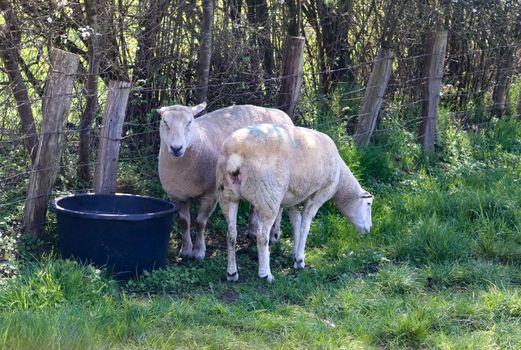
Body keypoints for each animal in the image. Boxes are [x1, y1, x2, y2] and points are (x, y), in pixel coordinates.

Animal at [157, 102, 292, 258]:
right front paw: (185, 250)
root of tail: (281, 113)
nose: (176, 148)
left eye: (189, 122)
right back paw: (252, 231)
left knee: (280, 208)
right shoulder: (176, 196)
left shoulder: (210, 195)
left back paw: (274, 235)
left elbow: (200, 223)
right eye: (164, 122)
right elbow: (184, 222)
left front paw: (198, 251)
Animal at [216, 123, 374, 282]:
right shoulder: (319, 194)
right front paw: (299, 259)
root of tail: (235, 156)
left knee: (231, 234)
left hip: (227, 195)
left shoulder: (293, 199)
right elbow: (305, 225)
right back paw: (266, 274)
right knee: (262, 237)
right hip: (268, 196)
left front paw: (295, 253)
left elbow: (296, 223)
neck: (340, 180)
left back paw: (232, 273)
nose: (370, 228)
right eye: (369, 204)